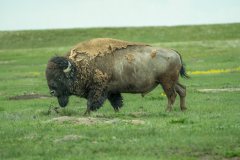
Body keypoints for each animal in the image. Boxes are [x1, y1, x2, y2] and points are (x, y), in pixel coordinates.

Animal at [44, 38, 188, 114]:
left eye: (59, 77)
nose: (52, 92)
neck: (80, 65)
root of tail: (173, 52)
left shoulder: (98, 89)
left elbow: (91, 102)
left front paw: (85, 114)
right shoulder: (111, 91)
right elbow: (116, 103)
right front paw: (118, 113)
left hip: (166, 82)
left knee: (172, 95)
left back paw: (167, 111)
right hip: (172, 81)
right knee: (182, 90)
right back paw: (183, 109)